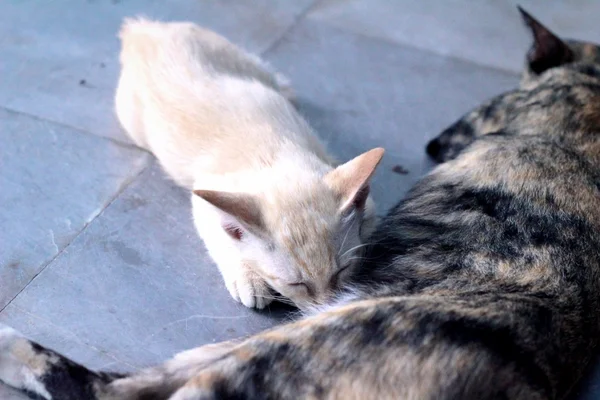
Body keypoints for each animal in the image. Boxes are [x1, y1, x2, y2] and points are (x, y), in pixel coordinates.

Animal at [113, 18, 384, 310]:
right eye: (297, 284)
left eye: (341, 270)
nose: (326, 306)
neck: (274, 154)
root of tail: (142, 31)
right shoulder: (205, 196)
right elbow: (221, 237)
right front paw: (248, 277)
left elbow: (369, 212)